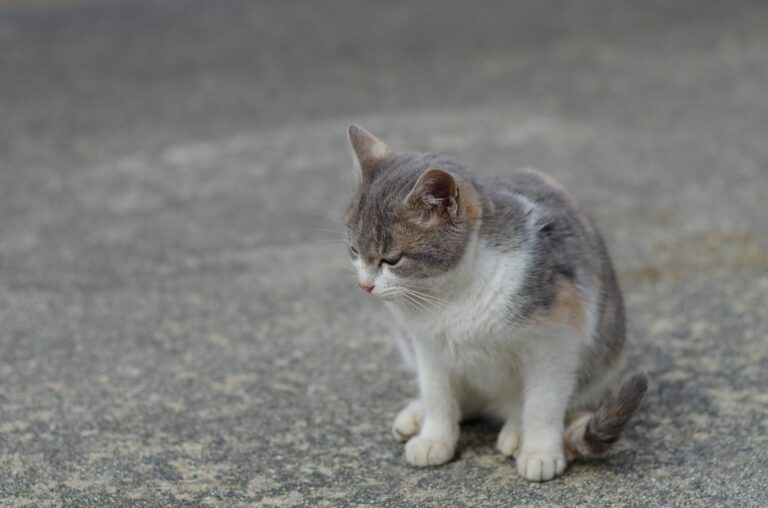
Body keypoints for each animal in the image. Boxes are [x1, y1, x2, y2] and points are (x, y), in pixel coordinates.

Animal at [344, 123, 648, 480]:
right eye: (354, 250)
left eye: (392, 260)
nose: (365, 285)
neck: (452, 295)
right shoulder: (427, 347)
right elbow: (437, 395)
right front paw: (435, 438)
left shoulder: (554, 342)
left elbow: (543, 403)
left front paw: (540, 451)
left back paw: (517, 430)